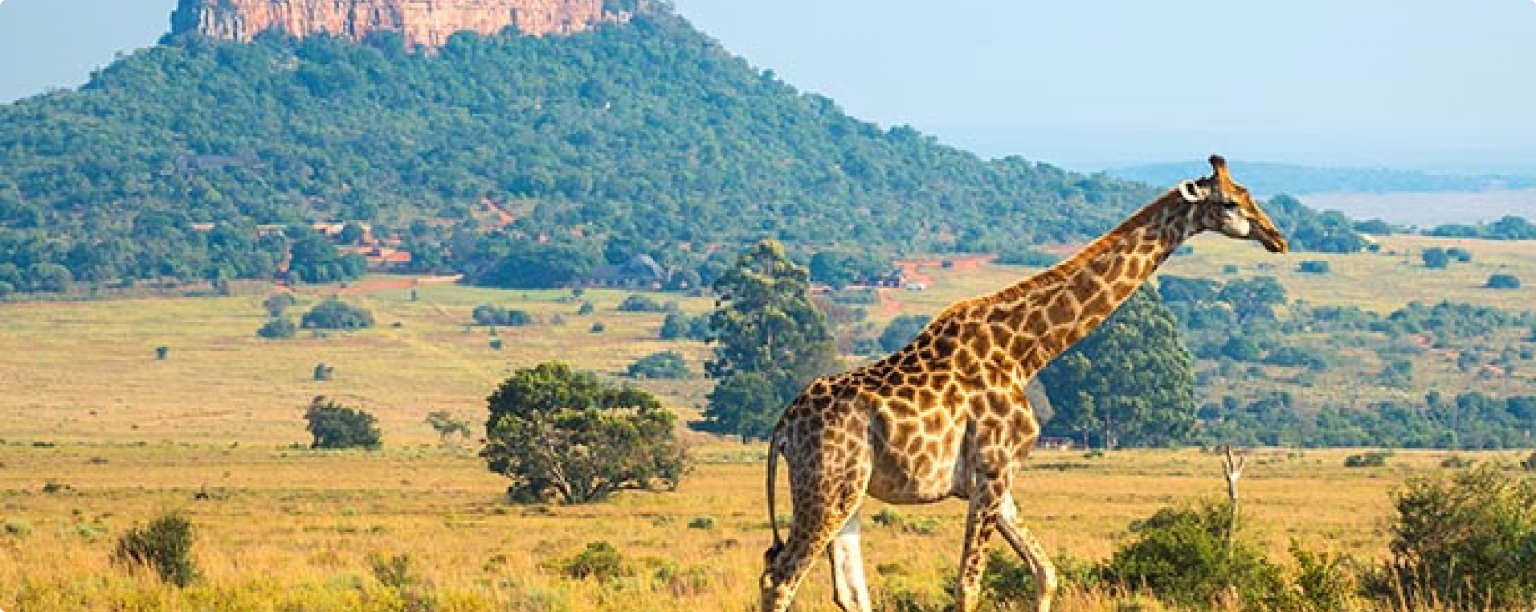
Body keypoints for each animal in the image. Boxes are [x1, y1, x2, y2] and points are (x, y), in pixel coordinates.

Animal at [760, 155, 1288, 612]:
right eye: (1230, 203)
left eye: (1248, 194)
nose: (1277, 238)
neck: (1026, 351)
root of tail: (782, 427)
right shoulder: (992, 470)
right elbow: (969, 587)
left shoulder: (998, 478)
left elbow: (1045, 573)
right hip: (828, 488)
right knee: (780, 577)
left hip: (849, 490)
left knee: (846, 589)